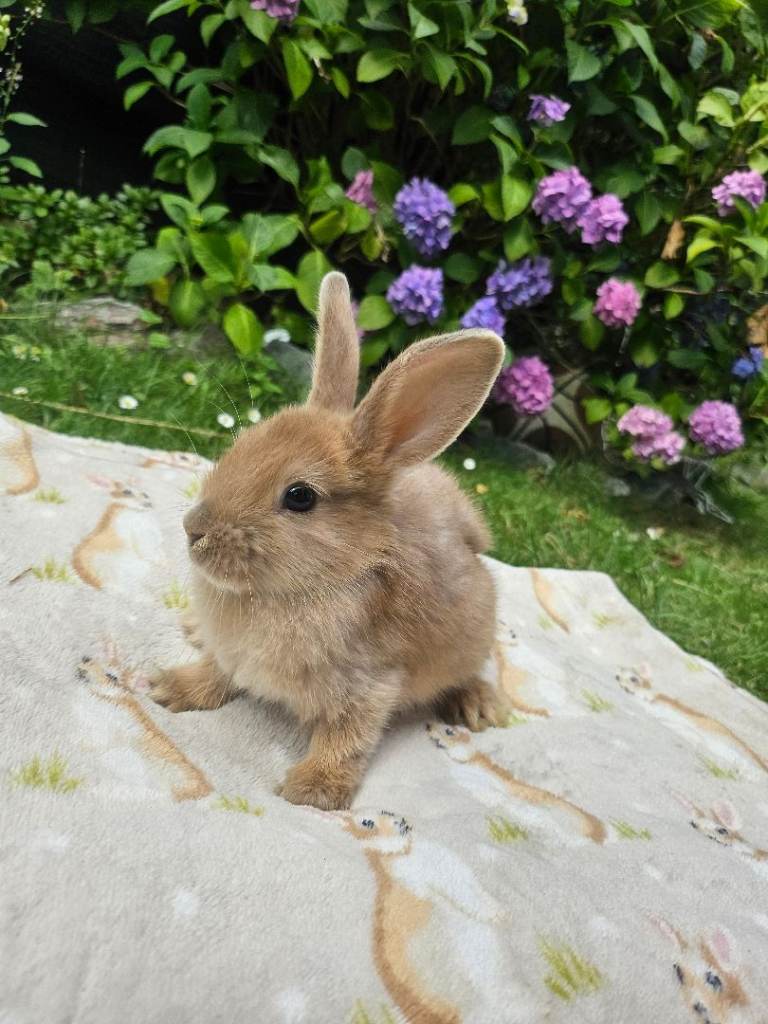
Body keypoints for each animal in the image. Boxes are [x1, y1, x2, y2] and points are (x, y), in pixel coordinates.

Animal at [150, 271, 506, 810]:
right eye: (244, 444)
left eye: (300, 497)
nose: (195, 528)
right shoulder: (231, 657)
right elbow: (214, 674)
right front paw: (168, 688)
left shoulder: (368, 685)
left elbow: (346, 738)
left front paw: (312, 792)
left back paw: (479, 706)